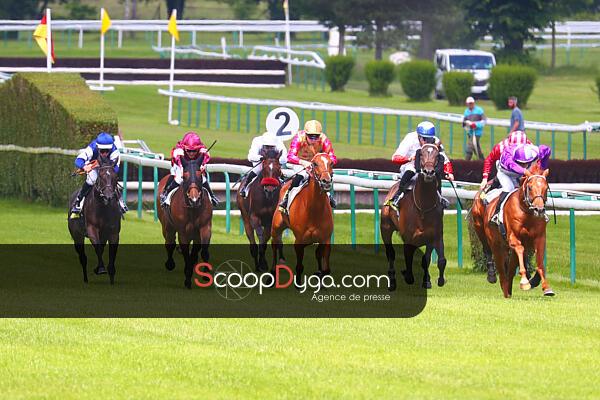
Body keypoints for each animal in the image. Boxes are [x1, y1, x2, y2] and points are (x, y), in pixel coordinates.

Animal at [68, 155, 121, 284]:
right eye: (101, 176)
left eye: (116, 177)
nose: (108, 196)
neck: (103, 208)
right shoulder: (92, 229)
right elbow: (97, 247)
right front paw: (101, 269)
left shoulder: (113, 232)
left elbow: (110, 251)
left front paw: (110, 274)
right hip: (77, 236)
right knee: (83, 257)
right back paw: (86, 279)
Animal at [156, 156, 213, 289]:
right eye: (184, 176)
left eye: (200, 174)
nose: (194, 199)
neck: (192, 209)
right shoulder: (183, 232)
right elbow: (186, 253)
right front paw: (187, 278)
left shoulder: (204, 227)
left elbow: (203, 251)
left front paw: (205, 273)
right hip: (167, 226)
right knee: (170, 243)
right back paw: (170, 264)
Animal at [271, 153, 334, 286]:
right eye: (314, 163)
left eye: (331, 163)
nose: (326, 181)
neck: (314, 210)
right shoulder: (299, 240)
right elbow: (299, 266)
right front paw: (298, 284)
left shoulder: (325, 239)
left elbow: (326, 269)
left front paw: (319, 277)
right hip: (276, 227)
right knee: (275, 244)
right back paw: (272, 274)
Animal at [380, 143, 447, 291]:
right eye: (421, 154)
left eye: (437, 155)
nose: (429, 172)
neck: (423, 207)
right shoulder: (409, 237)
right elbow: (408, 258)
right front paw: (408, 276)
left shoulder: (435, 236)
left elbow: (438, 260)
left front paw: (435, 280)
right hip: (385, 228)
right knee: (390, 253)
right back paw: (392, 281)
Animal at [481, 164, 554, 298]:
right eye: (530, 187)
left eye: (546, 188)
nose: (539, 209)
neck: (527, 213)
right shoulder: (513, 237)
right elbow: (520, 249)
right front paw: (524, 282)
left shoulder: (540, 238)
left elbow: (540, 262)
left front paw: (546, 288)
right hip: (496, 245)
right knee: (502, 270)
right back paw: (503, 287)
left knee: (509, 271)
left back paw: (509, 290)